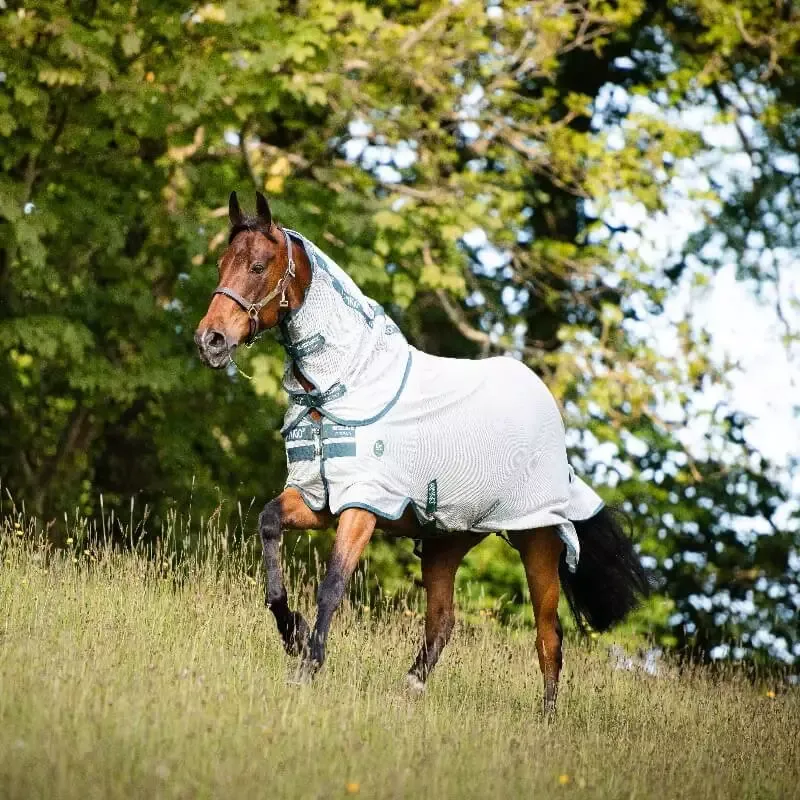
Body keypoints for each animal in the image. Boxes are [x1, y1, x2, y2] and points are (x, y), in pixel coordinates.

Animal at [195, 191, 650, 713]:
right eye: (221, 262)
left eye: (257, 265)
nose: (210, 340)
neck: (343, 385)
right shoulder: (318, 500)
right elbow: (269, 525)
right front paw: (292, 634)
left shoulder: (363, 505)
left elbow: (333, 585)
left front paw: (307, 667)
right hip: (445, 543)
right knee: (443, 618)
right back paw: (409, 689)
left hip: (537, 542)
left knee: (548, 636)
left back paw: (547, 717)